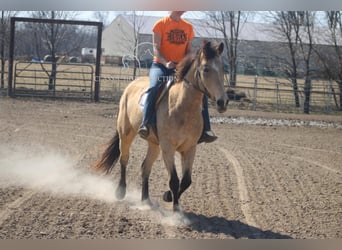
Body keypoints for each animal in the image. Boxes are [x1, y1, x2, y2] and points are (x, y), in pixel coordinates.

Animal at [93, 41, 228, 211]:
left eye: (222, 69)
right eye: (206, 69)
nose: (223, 102)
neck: (182, 106)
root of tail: (130, 86)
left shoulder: (190, 148)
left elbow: (186, 181)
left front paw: (169, 196)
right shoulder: (168, 148)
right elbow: (174, 180)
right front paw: (175, 209)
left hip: (154, 144)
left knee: (145, 167)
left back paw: (145, 199)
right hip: (126, 134)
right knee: (124, 159)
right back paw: (120, 192)